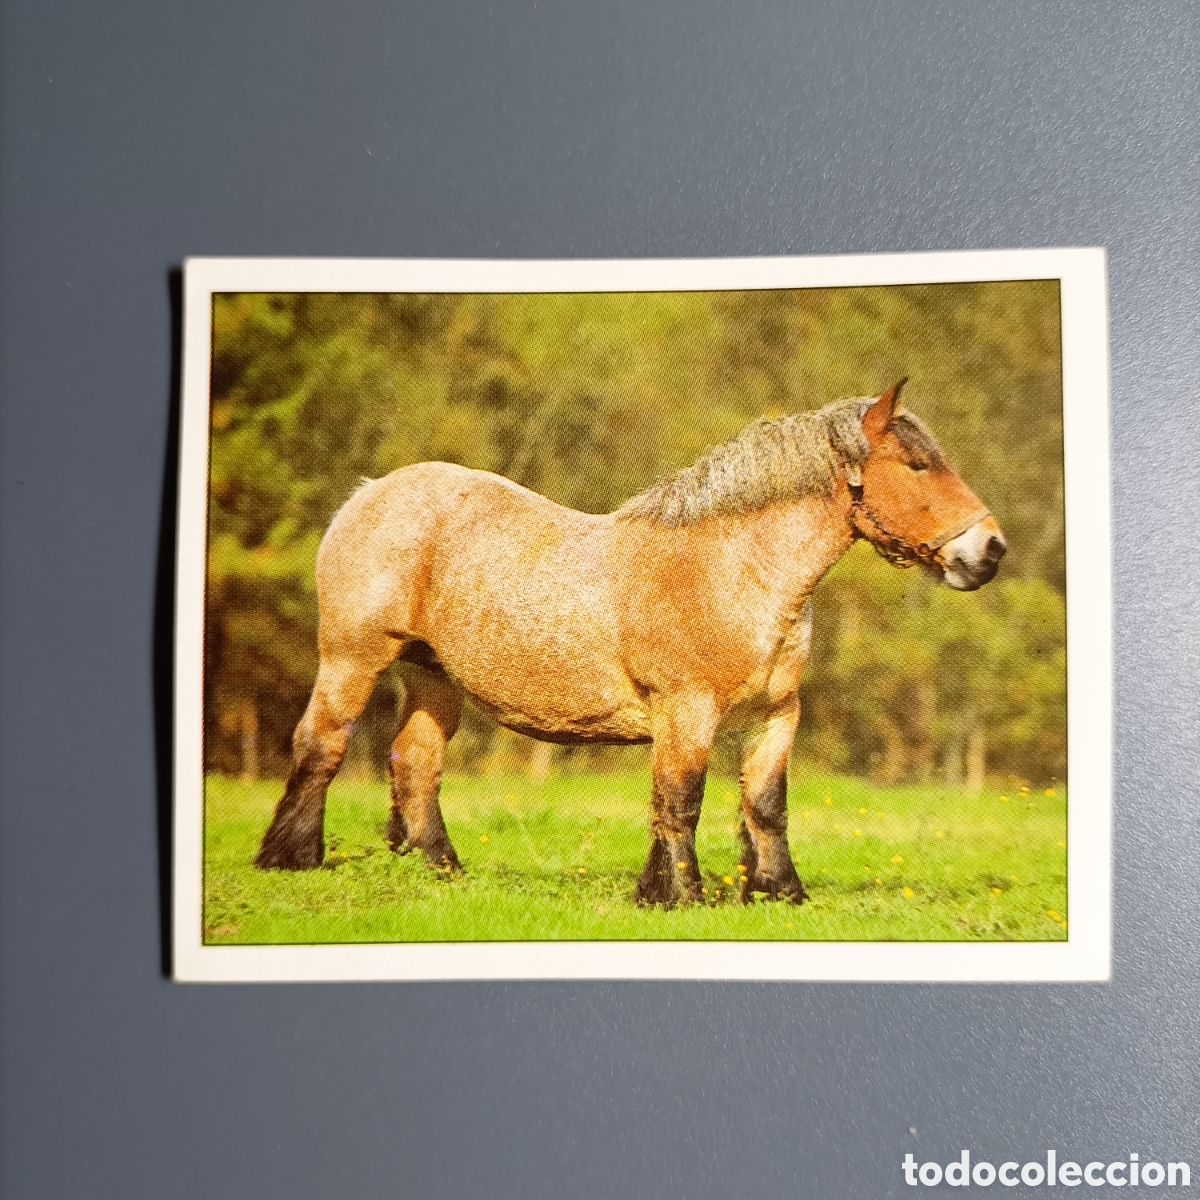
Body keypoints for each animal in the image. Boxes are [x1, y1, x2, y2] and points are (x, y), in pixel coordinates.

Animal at [254, 378, 1006, 906]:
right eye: (917, 465)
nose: (990, 550)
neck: (732, 568)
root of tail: (368, 494)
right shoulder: (687, 712)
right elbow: (679, 800)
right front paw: (677, 895)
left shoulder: (776, 717)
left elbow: (765, 805)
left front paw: (780, 892)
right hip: (352, 658)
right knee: (320, 745)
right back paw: (288, 858)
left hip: (433, 678)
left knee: (414, 764)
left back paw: (442, 869)